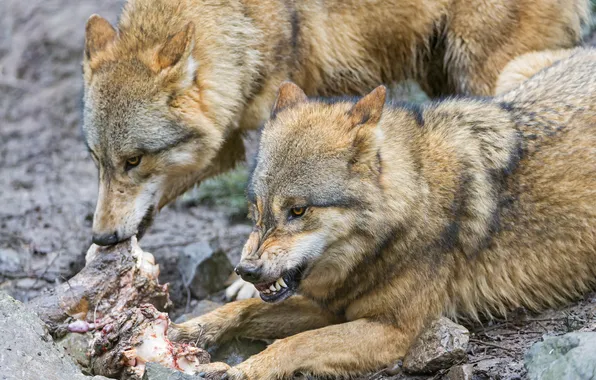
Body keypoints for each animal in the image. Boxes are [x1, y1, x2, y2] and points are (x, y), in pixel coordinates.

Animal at [81, 0, 588, 246]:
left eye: (134, 160)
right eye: (97, 160)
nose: (102, 237)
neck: (244, 24)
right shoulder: (227, 139)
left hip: (484, 73)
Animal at [168, 48, 596, 380]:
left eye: (298, 210)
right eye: (256, 209)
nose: (247, 270)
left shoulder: (393, 330)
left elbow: (293, 343)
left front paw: (243, 369)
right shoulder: (329, 307)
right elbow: (243, 309)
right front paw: (188, 329)